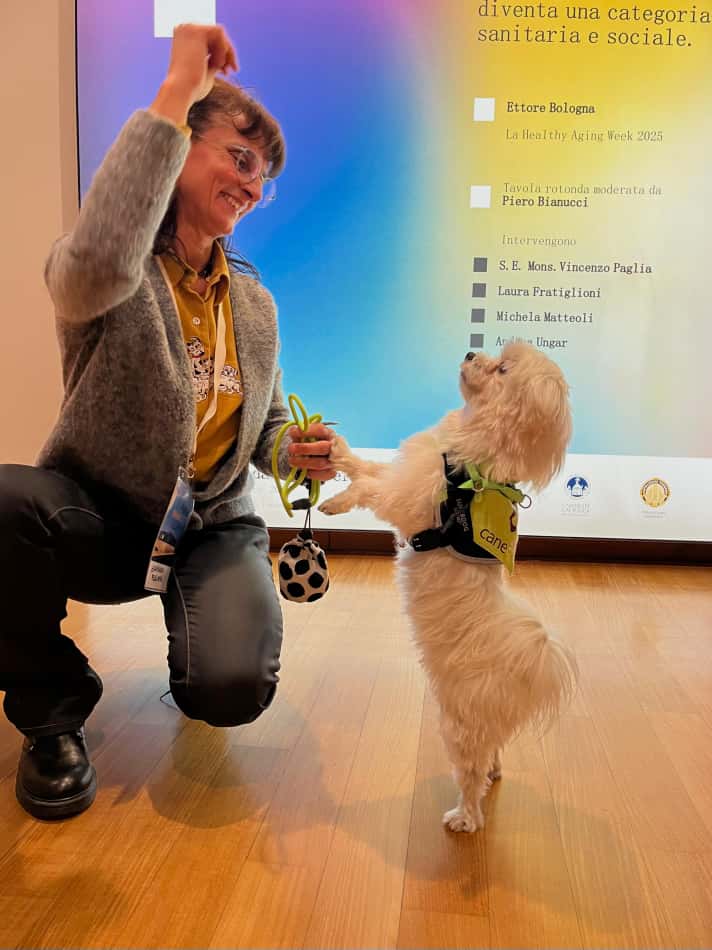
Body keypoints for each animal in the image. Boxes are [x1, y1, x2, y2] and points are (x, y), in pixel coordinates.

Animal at [319, 340, 577, 832]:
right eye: (497, 355)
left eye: (502, 369)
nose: (472, 352)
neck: (478, 457)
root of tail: (529, 661)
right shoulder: (408, 473)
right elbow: (368, 467)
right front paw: (336, 455)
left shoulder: (409, 498)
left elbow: (373, 489)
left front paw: (340, 498)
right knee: (493, 752)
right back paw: (494, 773)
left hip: (461, 725)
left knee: (471, 774)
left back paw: (464, 818)